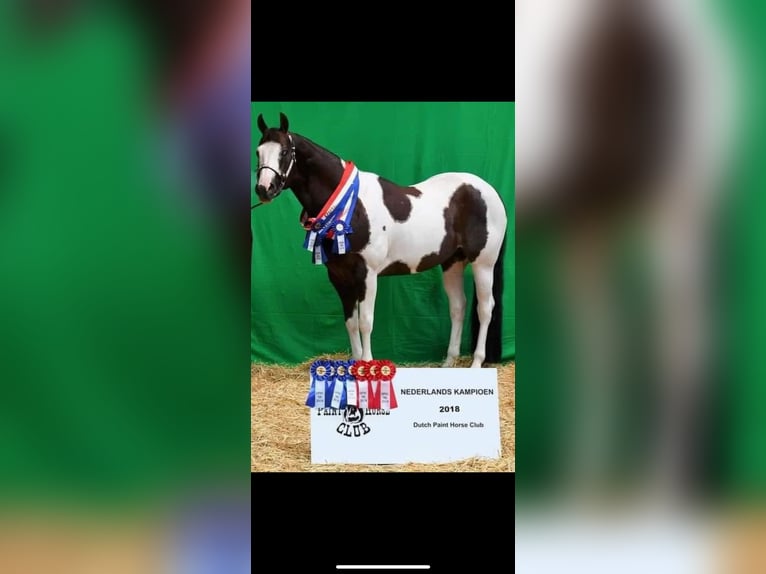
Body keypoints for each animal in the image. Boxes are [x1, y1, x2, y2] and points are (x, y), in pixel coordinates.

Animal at [254, 112, 508, 368]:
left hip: (483, 263)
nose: (264, 189)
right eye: (258, 151)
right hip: (452, 262)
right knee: (458, 307)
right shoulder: (339, 276)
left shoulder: (367, 273)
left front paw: (367, 365)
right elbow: (350, 322)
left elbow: (365, 321)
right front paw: (355, 365)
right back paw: (448, 362)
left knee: (485, 309)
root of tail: (491, 192)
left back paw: (477, 362)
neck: (350, 206)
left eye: (284, 151)